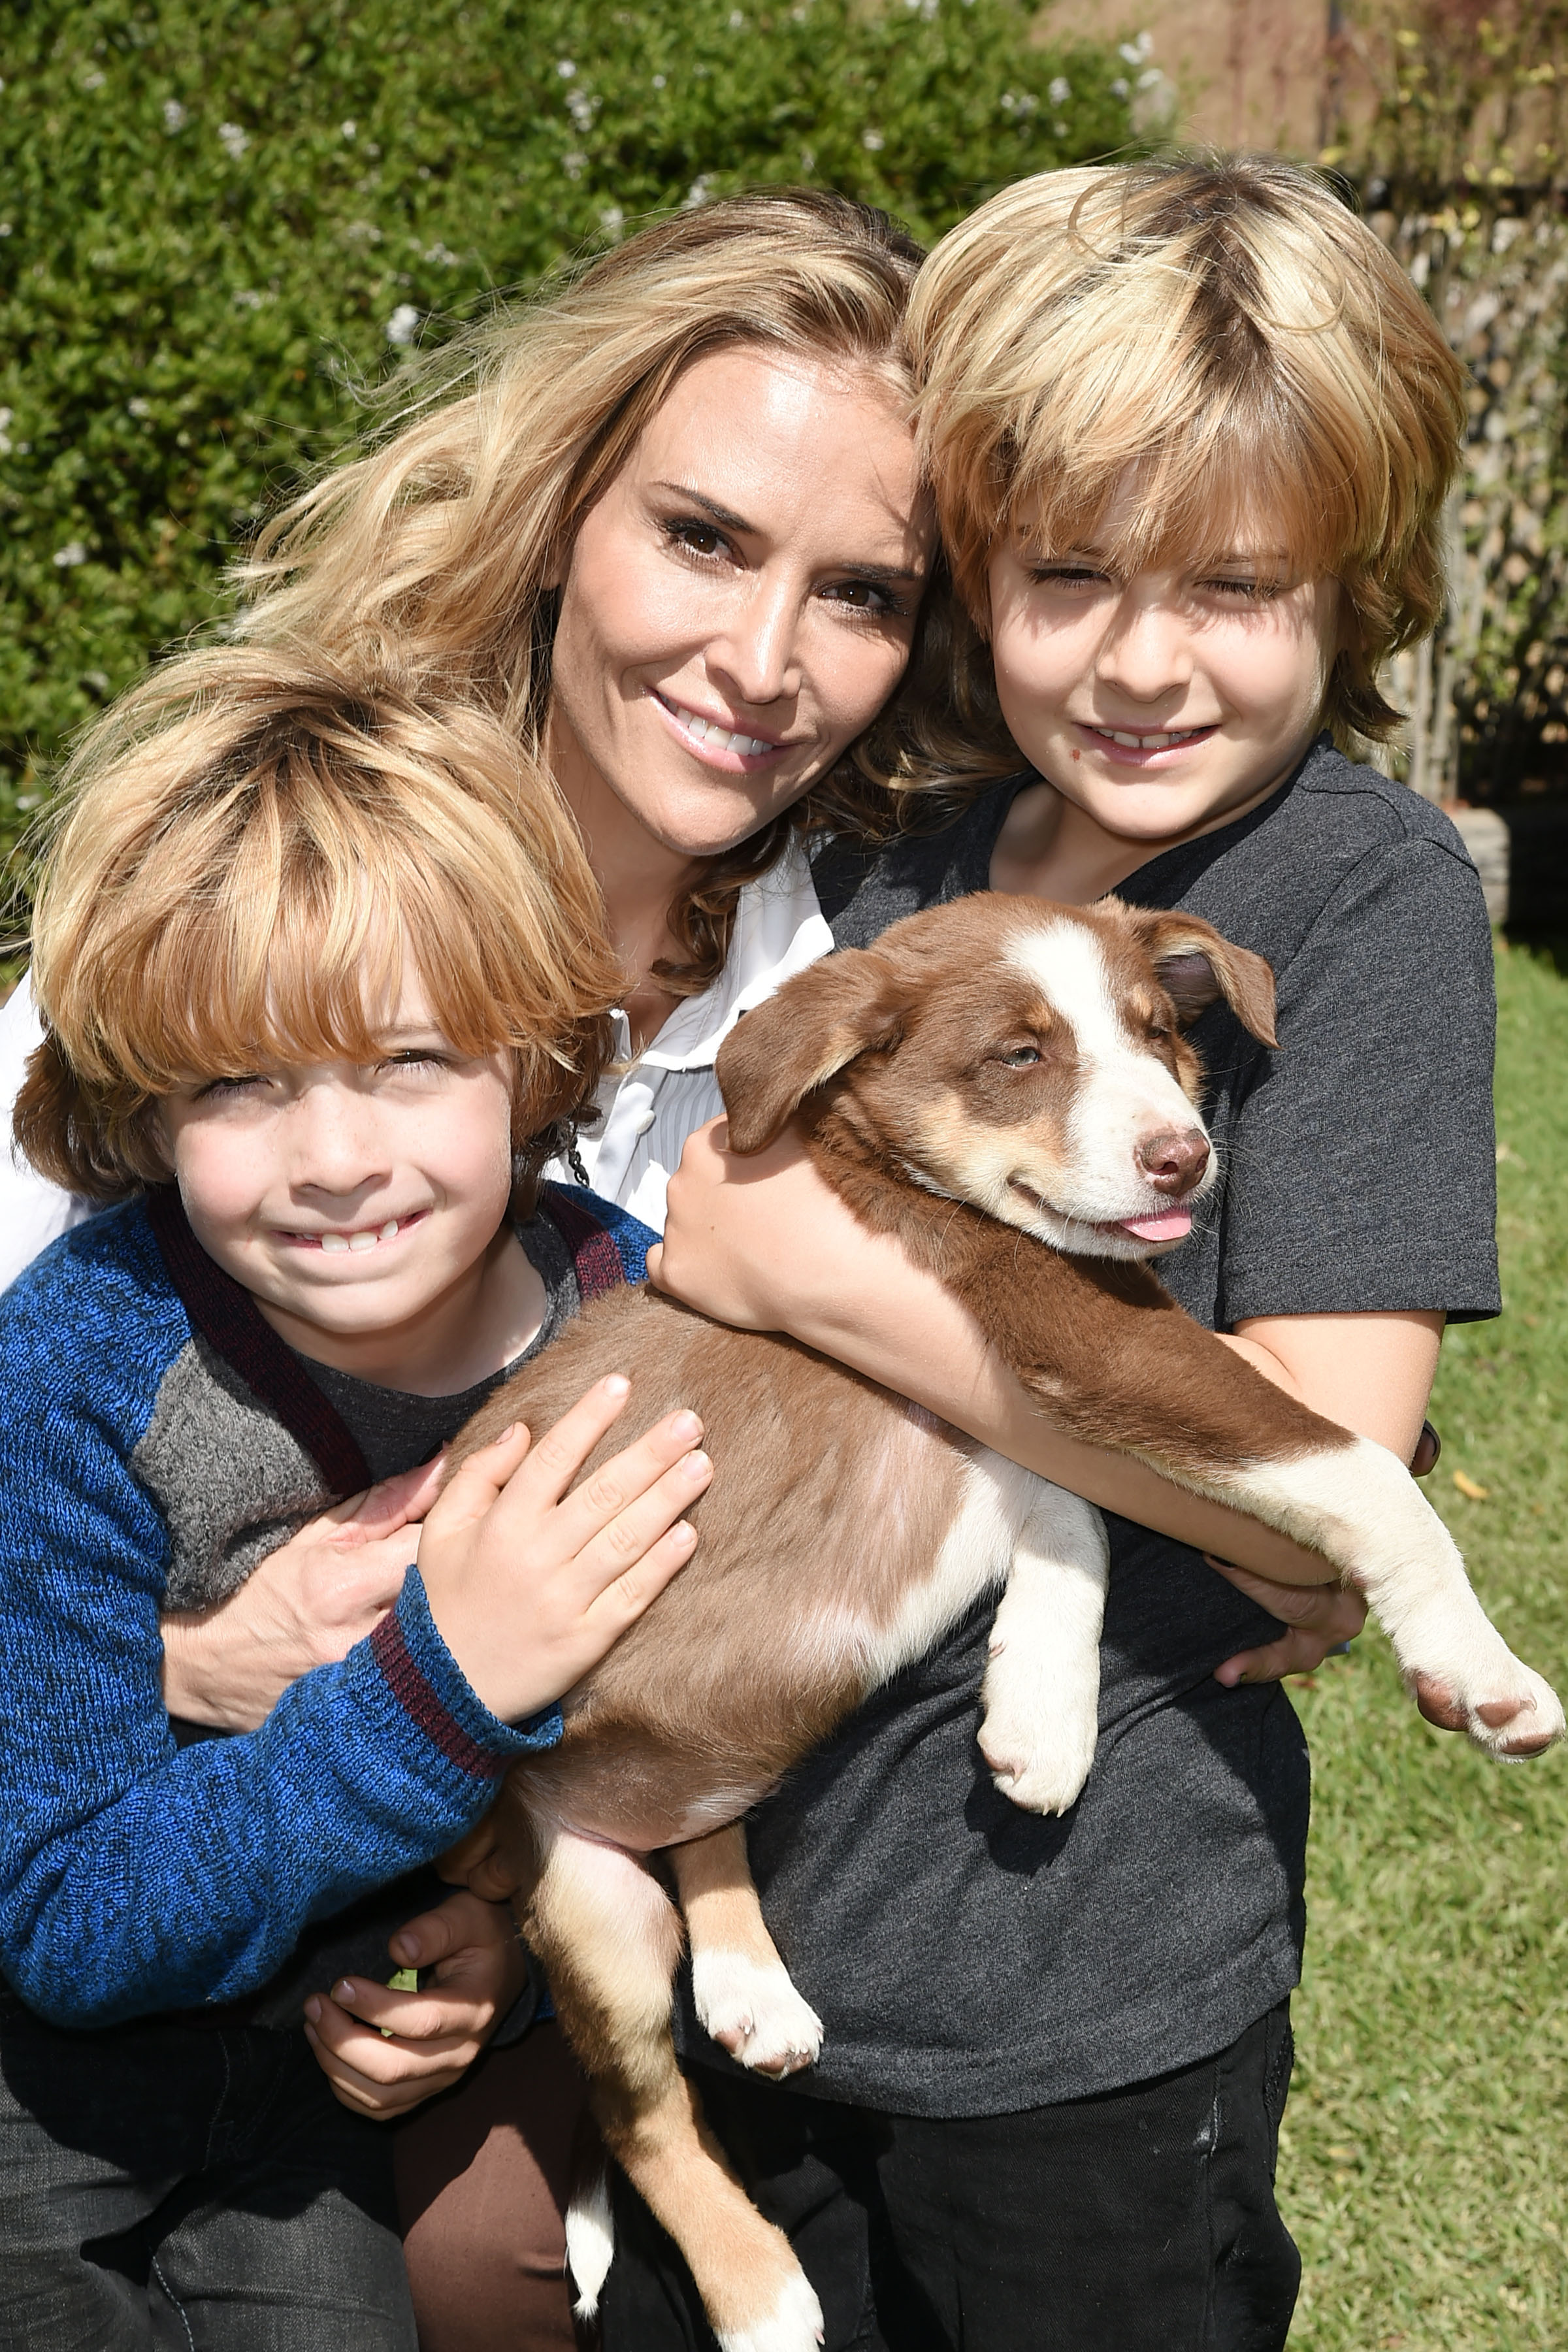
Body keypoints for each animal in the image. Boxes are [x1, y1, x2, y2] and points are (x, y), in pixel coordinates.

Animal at [451, 894, 1561, 2352]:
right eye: (1020, 1057)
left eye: (1157, 1032)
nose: (1182, 1154)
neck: (881, 1170)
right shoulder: (1091, 1340)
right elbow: (1362, 1470)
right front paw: (1480, 1673)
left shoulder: (996, 1419)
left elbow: (1075, 1521)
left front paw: (1041, 1719)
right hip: (585, 1910)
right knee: (640, 2116)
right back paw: (759, 2295)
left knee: (704, 1834)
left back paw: (751, 1988)